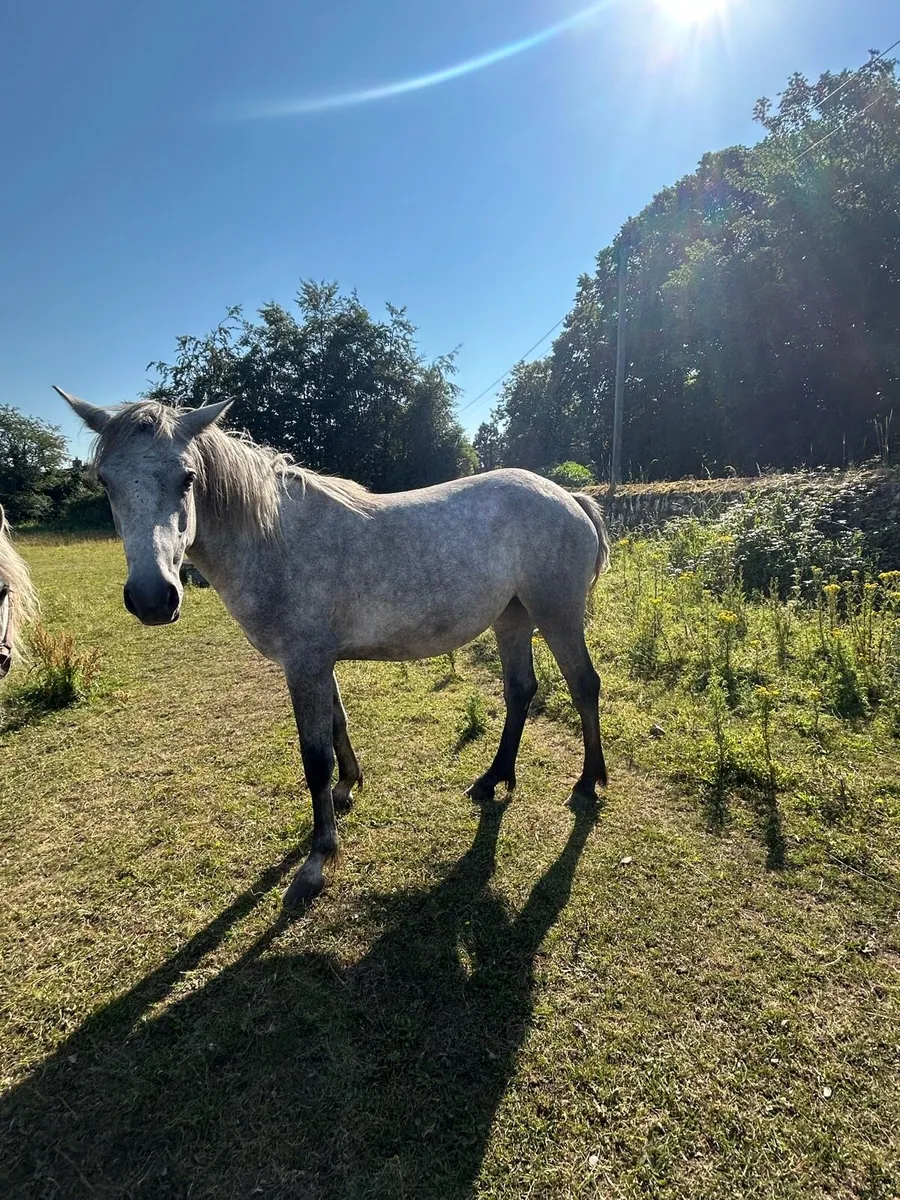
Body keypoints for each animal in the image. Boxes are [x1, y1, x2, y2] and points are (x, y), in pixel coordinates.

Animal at [57, 388, 610, 908]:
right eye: (105, 481)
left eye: (187, 478)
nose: (153, 598)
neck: (273, 539)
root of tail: (569, 497)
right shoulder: (319, 664)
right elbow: (339, 723)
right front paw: (348, 788)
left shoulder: (303, 665)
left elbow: (314, 757)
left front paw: (317, 859)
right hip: (511, 619)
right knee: (520, 691)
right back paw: (493, 779)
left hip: (557, 615)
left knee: (584, 686)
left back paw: (587, 785)